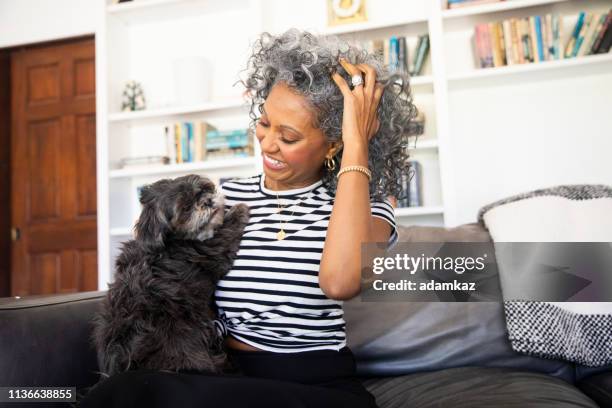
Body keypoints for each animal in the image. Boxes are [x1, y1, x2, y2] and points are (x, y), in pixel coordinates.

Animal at [92, 175, 249, 380]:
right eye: (185, 208)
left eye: (203, 190)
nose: (207, 201)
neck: (173, 242)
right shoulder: (210, 250)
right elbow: (226, 233)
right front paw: (239, 210)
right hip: (183, 346)